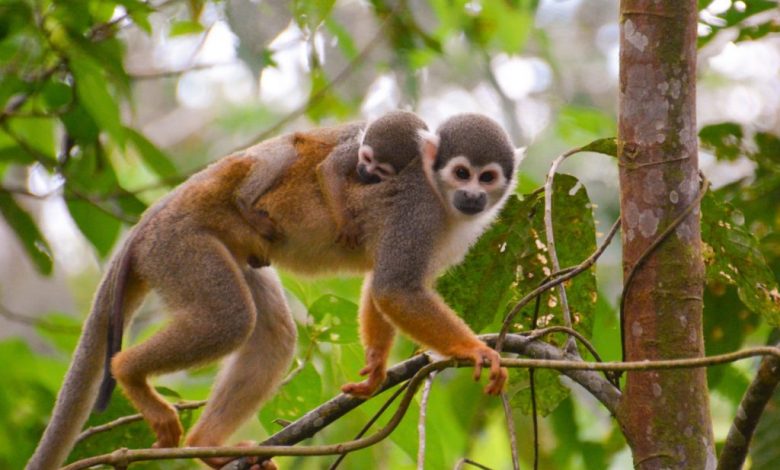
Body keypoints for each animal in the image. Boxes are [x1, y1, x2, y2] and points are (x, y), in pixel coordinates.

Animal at [27, 112, 516, 468]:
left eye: (487, 177)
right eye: (462, 173)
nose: (473, 197)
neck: (441, 198)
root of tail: (151, 218)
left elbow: (383, 287)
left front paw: (376, 368)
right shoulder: (417, 213)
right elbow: (395, 289)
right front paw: (476, 350)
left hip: (218, 251)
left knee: (273, 332)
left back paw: (210, 445)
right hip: (178, 245)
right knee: (229, 320)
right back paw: (128, 371)